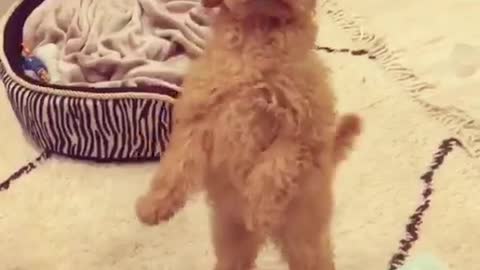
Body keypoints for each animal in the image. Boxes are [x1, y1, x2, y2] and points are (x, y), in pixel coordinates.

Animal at [135, 0, 360, 270]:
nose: (259, 219)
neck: (259, 30)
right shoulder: (199, 116)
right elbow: (176, 166)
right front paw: (154, 205)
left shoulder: (303, 132)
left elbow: (273, 170)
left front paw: (258, 211)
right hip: (232, 239)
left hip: (304, 239)